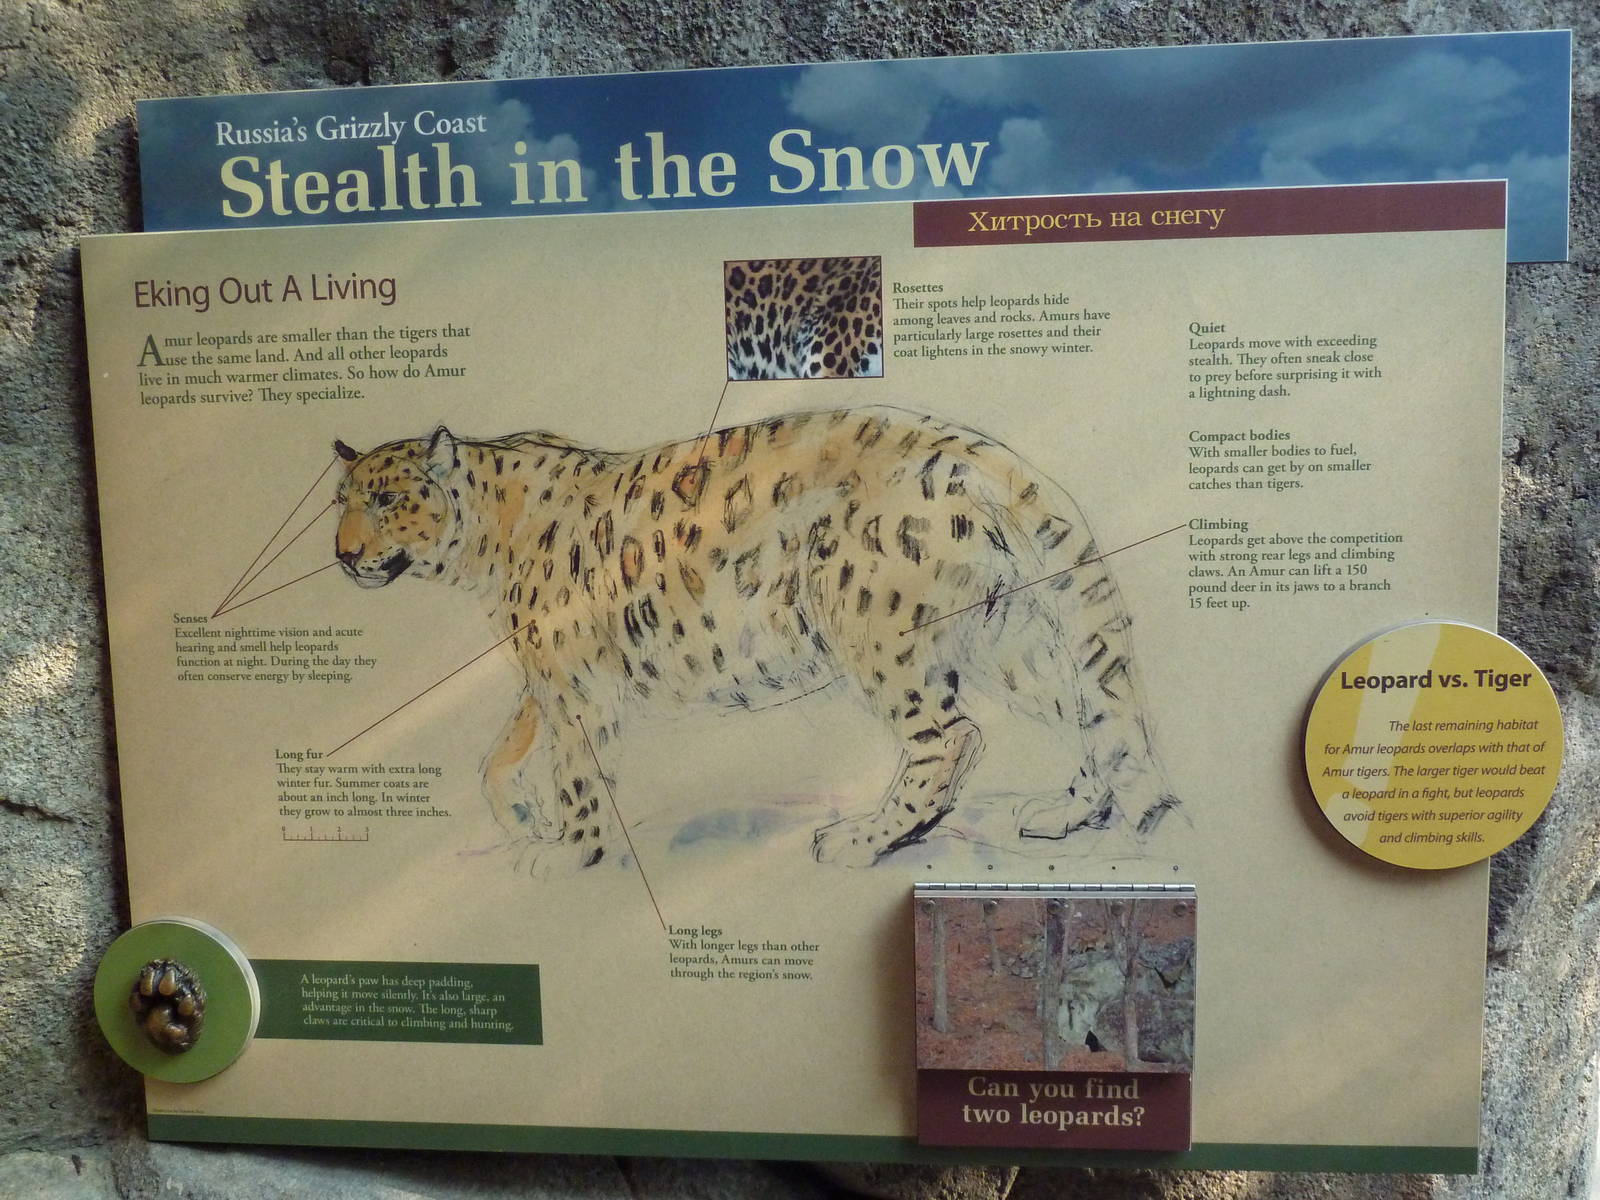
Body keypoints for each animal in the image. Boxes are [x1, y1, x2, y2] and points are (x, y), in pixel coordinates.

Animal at [332, 405, 1177, 873]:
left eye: (386, 501)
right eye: (342, 502)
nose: (342, 554)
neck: (480, 548)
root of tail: (979, 455)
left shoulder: (575, 682)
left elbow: (574, 769)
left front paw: (569, 850)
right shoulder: (548, 674)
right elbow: (501, 751)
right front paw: (521, 816)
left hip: (872, 624)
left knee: (950, 736)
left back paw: (861, 838)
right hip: (1004, 634)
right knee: (1086, 706)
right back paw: (1065, 810)